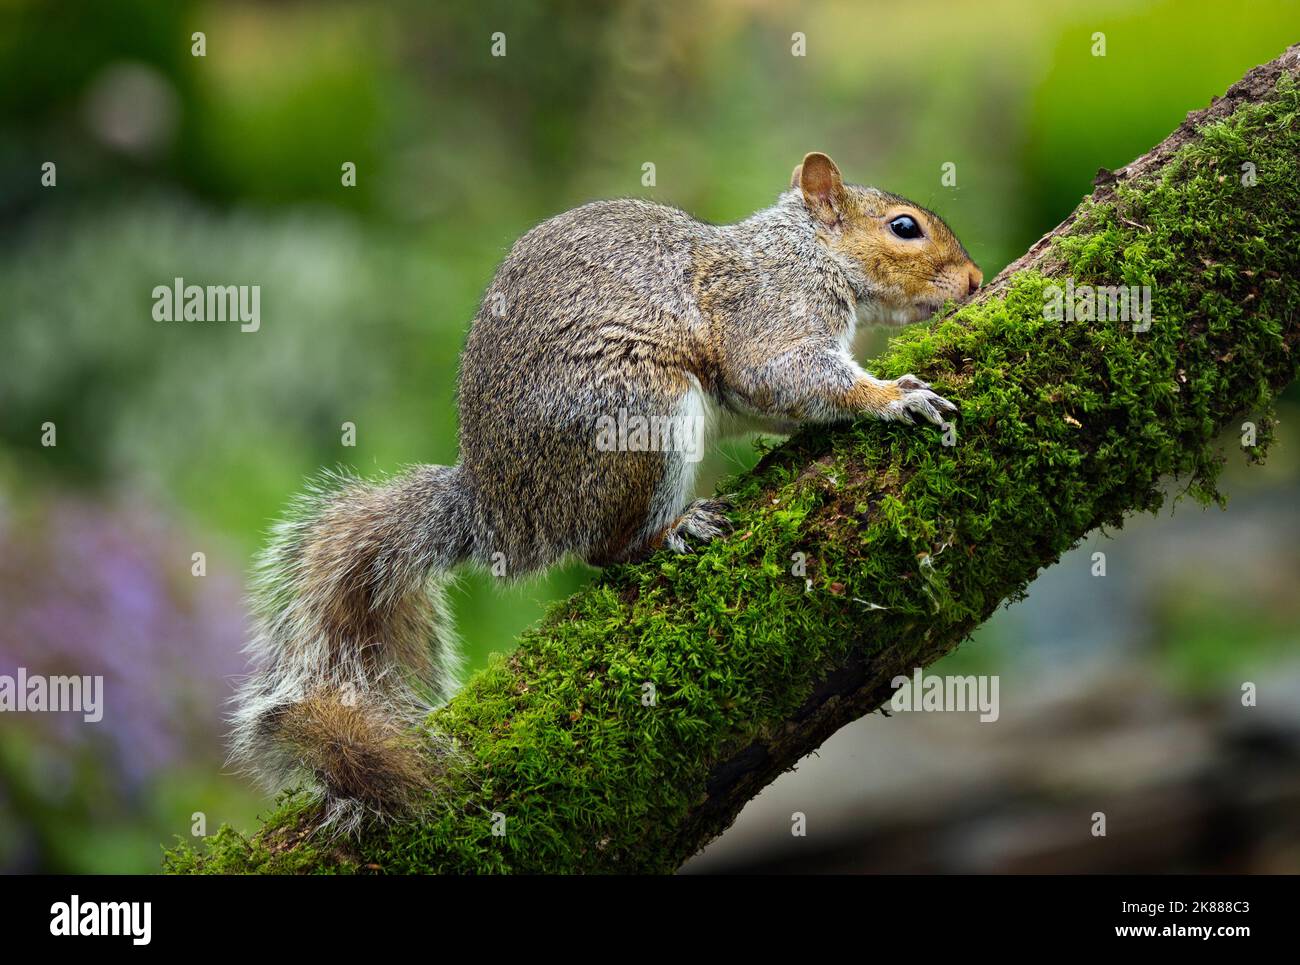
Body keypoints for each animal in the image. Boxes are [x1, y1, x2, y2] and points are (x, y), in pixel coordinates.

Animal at [229, 152, 982, 830]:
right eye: (905, 227)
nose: (975, 280)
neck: (807, 252)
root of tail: (498, 513)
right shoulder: (768, 311)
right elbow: (784, 372)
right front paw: (892, 397)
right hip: (640, 416)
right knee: (604, 550)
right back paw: (672, 529)